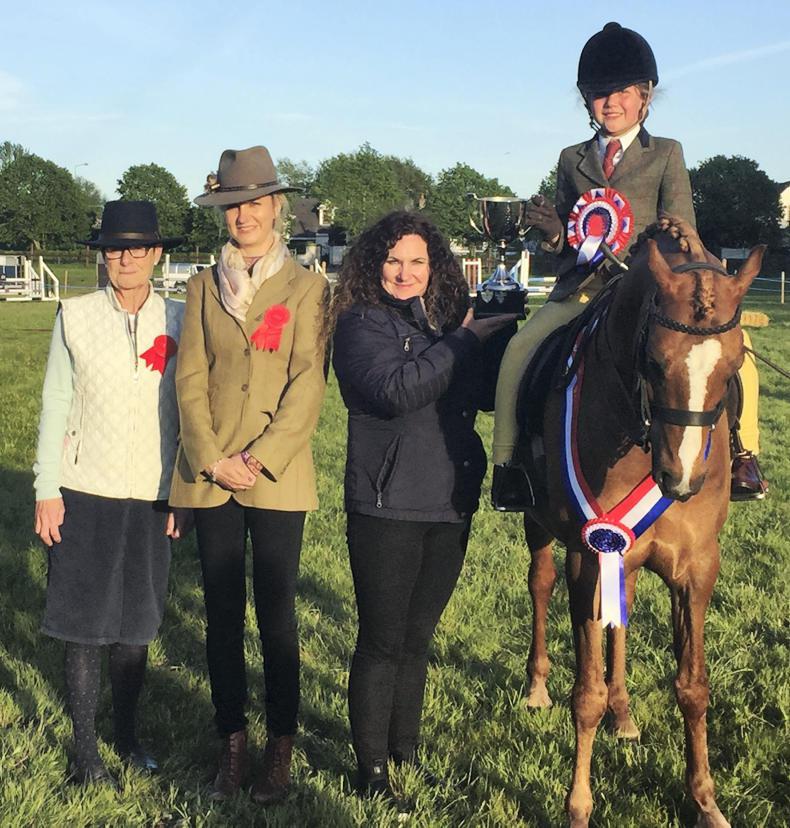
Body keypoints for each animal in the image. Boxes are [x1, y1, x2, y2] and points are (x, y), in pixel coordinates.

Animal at [518, 218, 764, 827]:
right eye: (655, 362)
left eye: (732, 368)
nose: (681, 479)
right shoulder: (588, 555)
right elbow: (585, 695)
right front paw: (578, 807)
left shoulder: (696, 568)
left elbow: (693, 687)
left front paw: (705, 801)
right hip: (544, 528)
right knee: (540, 585)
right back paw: (537, 687)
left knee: (619, 627)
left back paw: (625, 714)